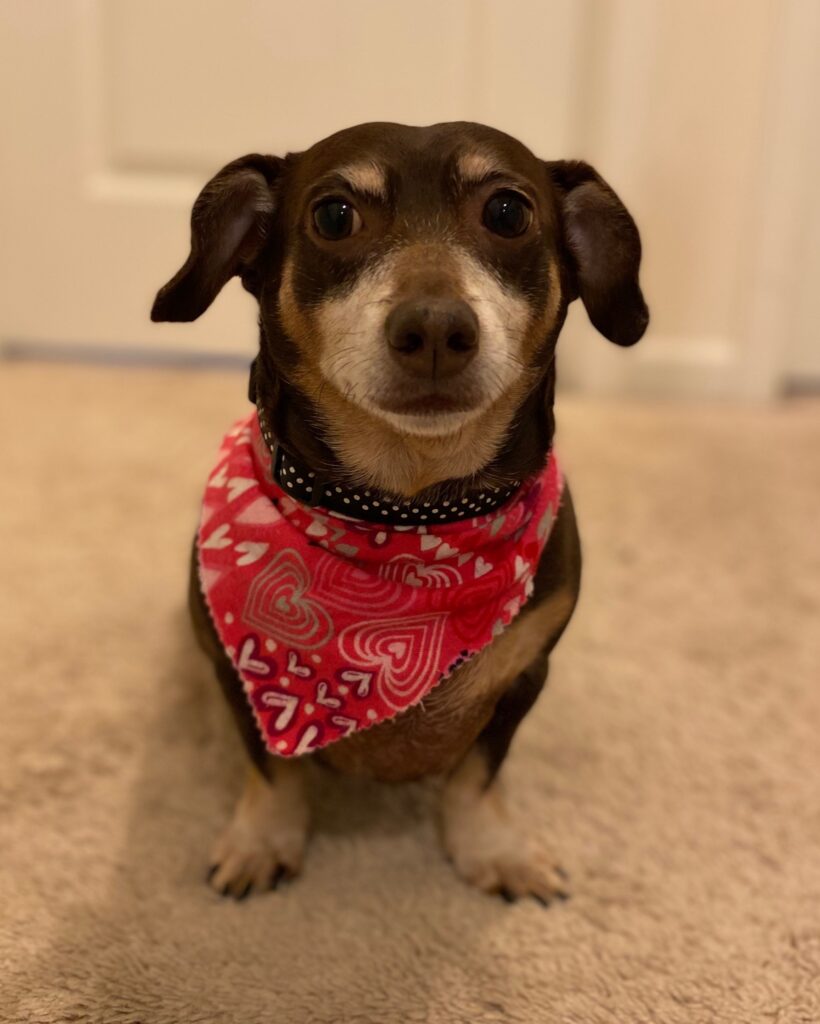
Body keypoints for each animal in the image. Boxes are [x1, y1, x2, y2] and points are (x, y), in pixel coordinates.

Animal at [148, 121, 646, 905]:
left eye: (508, 212)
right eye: (333, 216)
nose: (436, 328)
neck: (409, 515)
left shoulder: (524, 676)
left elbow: (477, 776)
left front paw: (495, 850)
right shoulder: (237, 677)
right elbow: (272, 767)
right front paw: (262, 842)